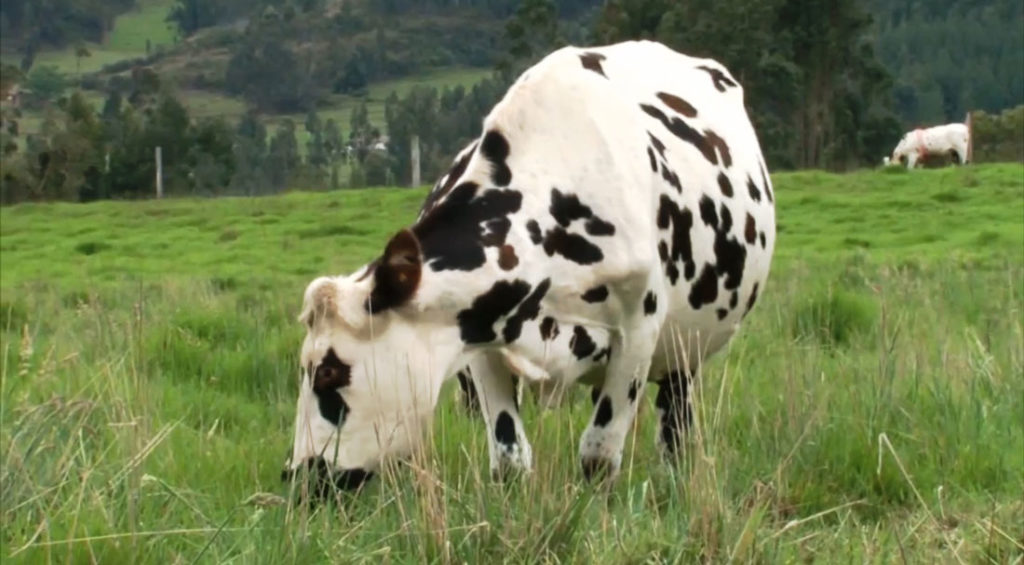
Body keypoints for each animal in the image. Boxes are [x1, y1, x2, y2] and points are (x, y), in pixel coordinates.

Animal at [280, 39, 774, 495]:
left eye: (327, 371)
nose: (297, 474)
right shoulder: (480, 337)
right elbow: (509, 456)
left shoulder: (639, 330)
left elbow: (598, 454)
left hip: (687, 347)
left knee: (675, 420)